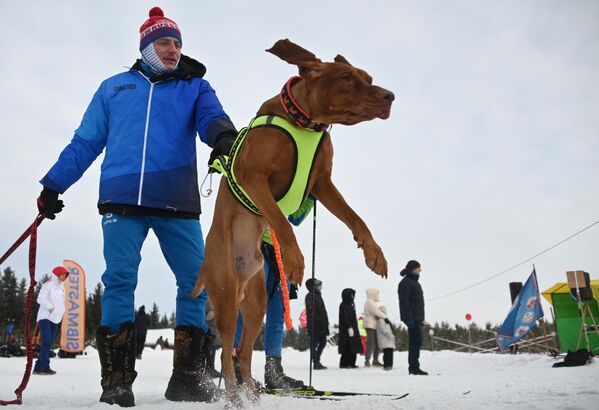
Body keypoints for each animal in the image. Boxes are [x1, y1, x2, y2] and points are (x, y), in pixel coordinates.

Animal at [192, 39, 396, 406]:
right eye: (346, 77)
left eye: (368, 77)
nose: (390, 96)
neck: (305, 122)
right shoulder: (253, 177)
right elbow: (279, 220)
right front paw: (296, 258)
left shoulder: (322, 184)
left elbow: (355, 217)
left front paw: (374, 252)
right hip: (226, 296)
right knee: (227, 350)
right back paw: (234, 398)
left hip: (257, 298)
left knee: (245, 352)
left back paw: (253, 397)